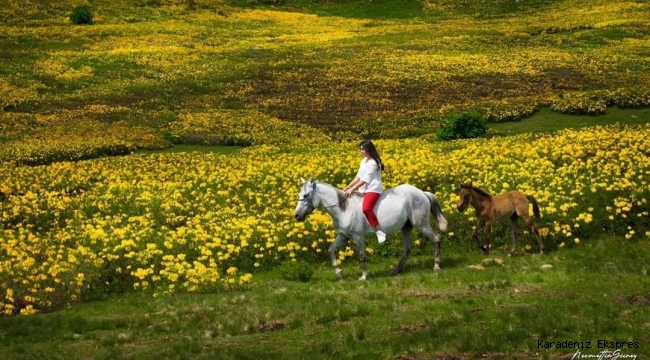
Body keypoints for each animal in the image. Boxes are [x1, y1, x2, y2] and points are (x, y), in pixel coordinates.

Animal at [292, 179, 446, 280]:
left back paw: (436, 266)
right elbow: (331, 249)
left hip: (421, 224)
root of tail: (422, 193)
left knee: (436, 238)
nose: (297, 215)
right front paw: (339, 273)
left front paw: (364, 276)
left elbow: (362, 255)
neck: (344, 209)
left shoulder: (358, 236)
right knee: (407, 248)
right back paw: (395, 270)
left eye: (305, 195)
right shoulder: (343, 236)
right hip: (406, 228)